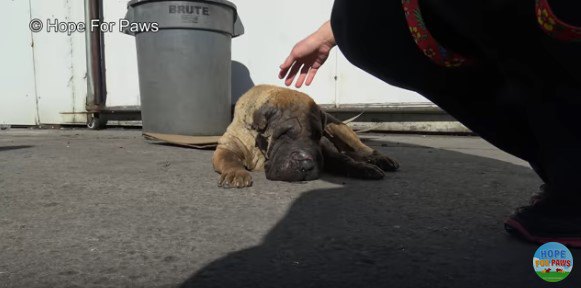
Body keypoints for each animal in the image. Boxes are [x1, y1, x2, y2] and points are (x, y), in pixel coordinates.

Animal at [213, 84, 398, 188]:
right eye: (283, 134)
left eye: (317, 135)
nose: (306, 164)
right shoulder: (227, 146)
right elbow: (229, 159)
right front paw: (236, 174)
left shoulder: (324, 147)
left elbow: (342, 159)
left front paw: (363, 168)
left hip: (340, 128)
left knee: (360, 149)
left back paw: (380, 159)